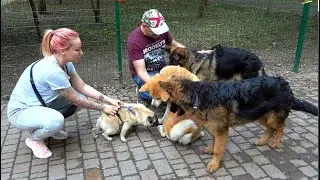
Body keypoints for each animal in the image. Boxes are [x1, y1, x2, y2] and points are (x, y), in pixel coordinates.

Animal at [158, 75, 318, 172]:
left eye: (171, 102)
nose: (170, 110)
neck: (199, 95)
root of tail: (285, 84)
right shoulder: (217, 128)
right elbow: (215, 142)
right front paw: (211, 150)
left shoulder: (221, 129)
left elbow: (219, 149)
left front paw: (214, 163)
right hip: (260, 115)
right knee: (270, 129)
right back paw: (263, 140)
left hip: (271, 117)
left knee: (280, 127)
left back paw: (275, 142)